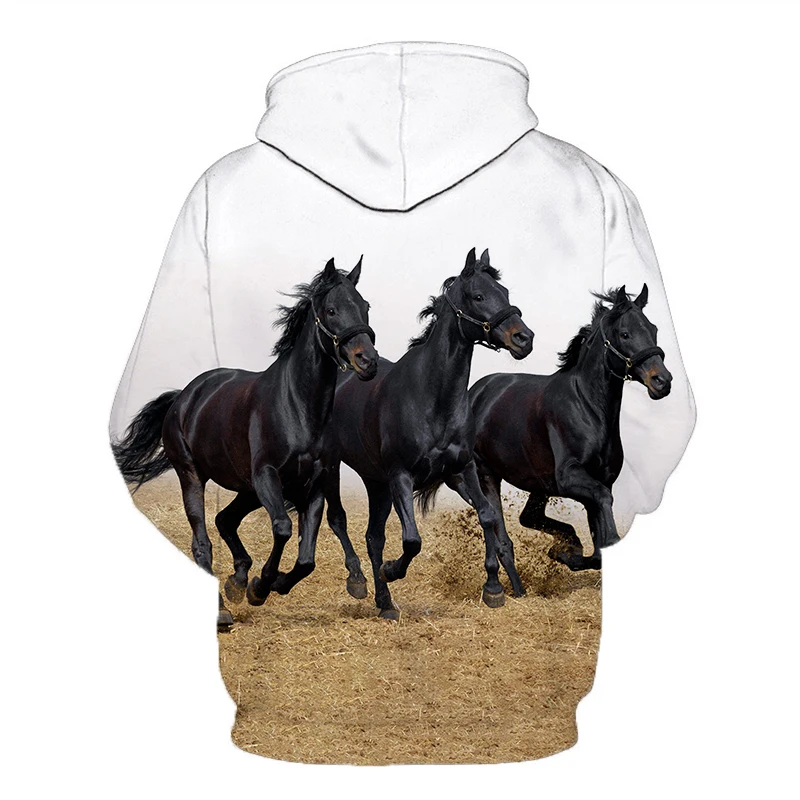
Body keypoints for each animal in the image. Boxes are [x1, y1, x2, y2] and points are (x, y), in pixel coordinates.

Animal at [112, 257, 379, 629]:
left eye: (365, 306)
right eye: (331, 309)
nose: (368, 361)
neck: (297, 406)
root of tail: (184, 397)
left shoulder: (313, 485)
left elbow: (306, 558)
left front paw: (265, 584)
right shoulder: (267, 477)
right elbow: (283, 528)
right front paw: (261, 585)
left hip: (246, 489)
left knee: (225, 519)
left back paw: (236, 581)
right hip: (193, 476)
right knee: (203, 541)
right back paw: (223, 610)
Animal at [305, 247, 534, 620]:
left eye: (505, 293)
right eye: (478, 296)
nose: (523, 338)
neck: (432, 398)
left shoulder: (461, 470)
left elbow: (487, 515)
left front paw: (494, 588)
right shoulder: (401, 475)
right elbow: (412, 540)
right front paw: (392, 570)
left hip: (376, 481)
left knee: (374, 537)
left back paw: (385, 604)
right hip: (336, 467)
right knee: (339, 519)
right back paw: (359, 581)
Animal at [467, 284, 671, 572]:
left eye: (653, 329)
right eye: (625, 333)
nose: (662, 381)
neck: (588, 408)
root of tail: (475, 392)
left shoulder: (598, 482)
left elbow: (598, 547)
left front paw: (564, 552)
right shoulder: (571, 477)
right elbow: (603, 521)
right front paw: (569, 553)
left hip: (538, 483)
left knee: (529, 517)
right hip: (487, 474)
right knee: (502, 533)